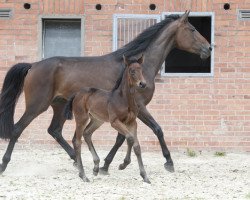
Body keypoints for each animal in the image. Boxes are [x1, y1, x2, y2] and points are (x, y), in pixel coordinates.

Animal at [64, 54, 150, 183]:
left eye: (141, 70)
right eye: (132, 71)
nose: (142, 84)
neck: (125, 100)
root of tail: (77, 94)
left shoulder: (132, 122)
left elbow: (136, 146)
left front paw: (144, 176)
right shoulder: (114, 122)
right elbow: (129, 138)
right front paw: (123, 165)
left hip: (97, 120)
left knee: (87, 133)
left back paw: (95, 167)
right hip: (81, 118)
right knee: (77, 141)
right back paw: (83, 175)